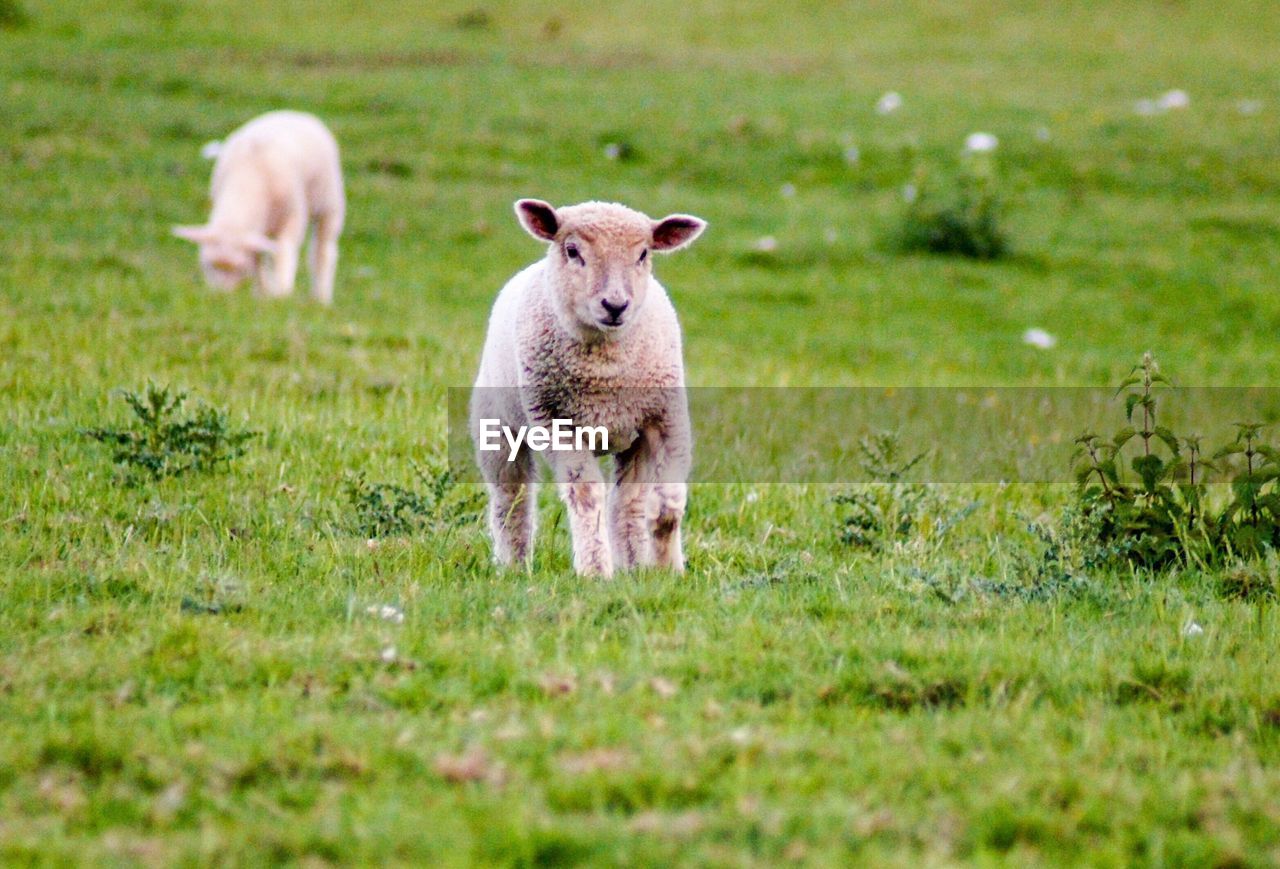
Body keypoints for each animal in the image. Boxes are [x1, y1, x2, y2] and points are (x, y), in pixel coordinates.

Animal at [175, 110, 348, 304]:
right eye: (209, 265)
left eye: (239, 267)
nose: (222, 296)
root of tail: (295, 113)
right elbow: (258, 261)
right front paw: (263, 294)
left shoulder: (293, 216)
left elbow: (284, 252)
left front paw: (282, 292)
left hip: (329, 202)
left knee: (322, 252)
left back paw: (321, 298)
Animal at [473, 198, 711, 578]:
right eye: (572, 251)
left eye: (643, 254)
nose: (615, 305)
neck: (606, 371)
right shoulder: (556, 424)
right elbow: (585, 496)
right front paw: (595, 570)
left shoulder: (667, 420)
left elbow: (667, 504)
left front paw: (669, 572)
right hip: (498, 427)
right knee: (512, 498)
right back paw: (514, 565)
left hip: (635, 439)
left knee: (628, 502)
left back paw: (634, 566)